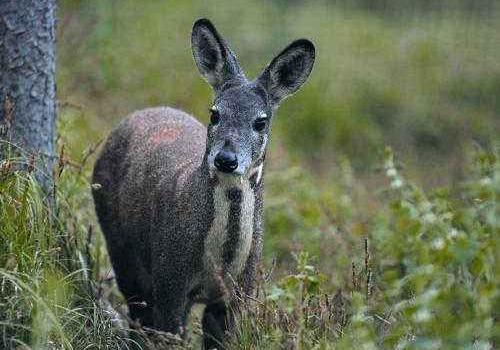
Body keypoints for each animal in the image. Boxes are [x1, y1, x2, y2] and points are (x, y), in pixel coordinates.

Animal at [92, 18, 314, 348]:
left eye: (261, 121)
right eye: (215, 113)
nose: (226, 159)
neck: (218, 263)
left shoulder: (237, 294)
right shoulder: (170, 279)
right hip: (120, 246)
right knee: (137, 311)